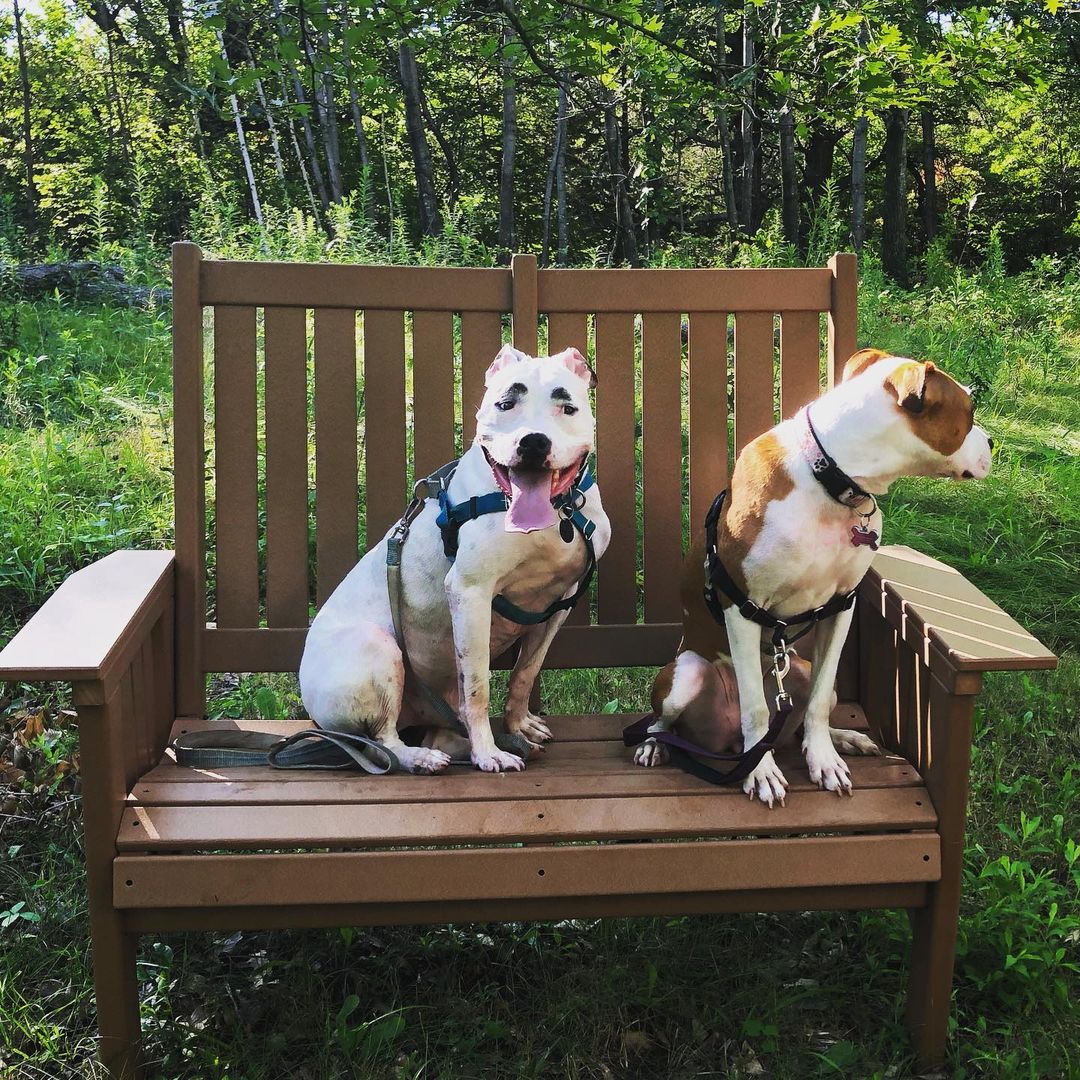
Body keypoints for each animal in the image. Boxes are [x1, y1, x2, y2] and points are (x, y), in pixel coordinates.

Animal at [300, 341, 613, 773]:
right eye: (505, 404)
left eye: (567, 408)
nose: (533, 441)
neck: (555, 516)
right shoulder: (471, 593)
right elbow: (478, 687)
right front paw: (489, 753)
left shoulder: (559, 602)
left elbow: (525, 672)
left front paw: (519, 725)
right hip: (377, 651)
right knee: (382, 741)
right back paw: (421, 757)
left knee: (439, 727)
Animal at [630, 349, 993, 807]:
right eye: (970, 409)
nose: (992, 443)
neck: (830, 479)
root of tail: (724, 741)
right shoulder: (742, 609)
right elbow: (755, 706)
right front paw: (760, 771)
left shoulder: (841, 606)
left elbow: (819, 700)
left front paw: (823, 758)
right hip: (686, 674)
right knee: (665, 722)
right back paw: (655, 745)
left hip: (801, 672)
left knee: (804, 715)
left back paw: (843, 739)